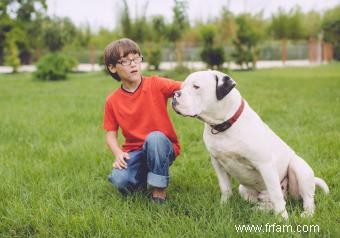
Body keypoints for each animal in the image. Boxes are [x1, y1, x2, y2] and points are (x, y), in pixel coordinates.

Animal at [173, 69, 330, 218]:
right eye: (181, 86)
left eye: (196, 87)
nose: (175, 94)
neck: (224, 124)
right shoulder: (217, 163)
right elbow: (225, 188)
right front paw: (223, 207)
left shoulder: (265, 165)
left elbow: (276, 195)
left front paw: (282, 218)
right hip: (244, 189)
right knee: (266, 202)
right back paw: (258, 210)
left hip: (299, 168)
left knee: (306, 198)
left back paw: (307, 214)